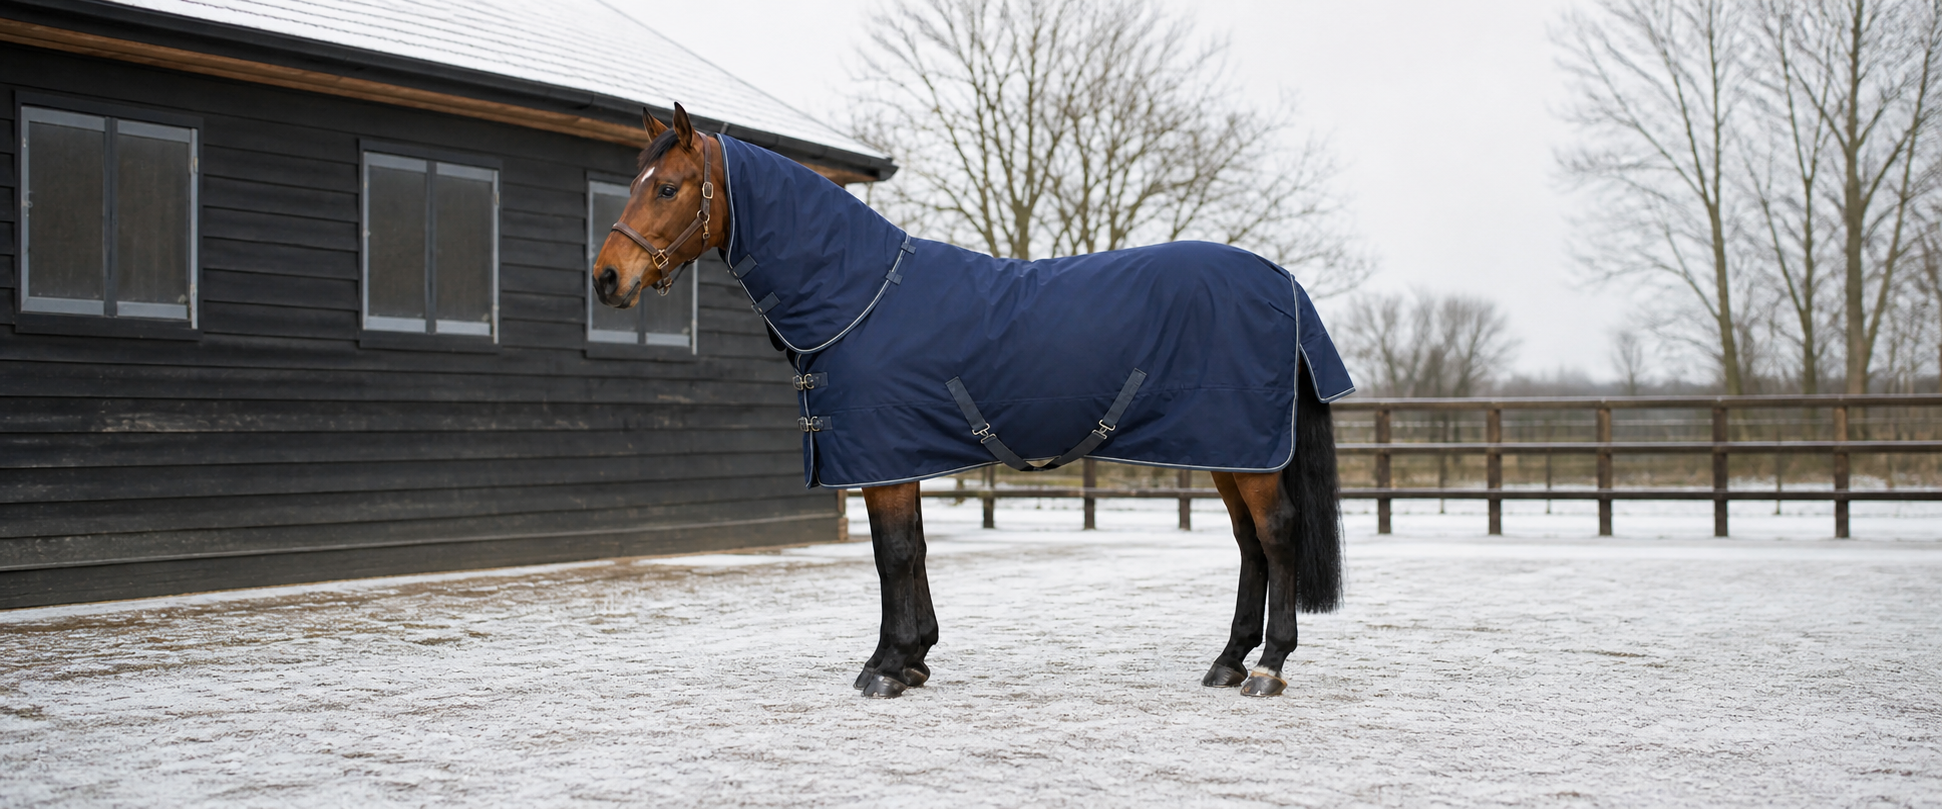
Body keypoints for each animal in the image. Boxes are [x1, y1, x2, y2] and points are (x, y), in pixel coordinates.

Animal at [593, 104, 1351, 699]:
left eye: (666, 187)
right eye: (630, 185)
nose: (606, 278)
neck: (861, 294)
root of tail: (1278, 277)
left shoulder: (884, 457)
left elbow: (894, 553)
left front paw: (887, 667)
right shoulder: (899, 457)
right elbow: (914, 550)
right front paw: (913, 657)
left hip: (1247, 449)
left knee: (1277, 534)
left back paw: (1269, 666)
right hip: (1229, 448)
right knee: (1249, 544)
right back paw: (1228, 662)